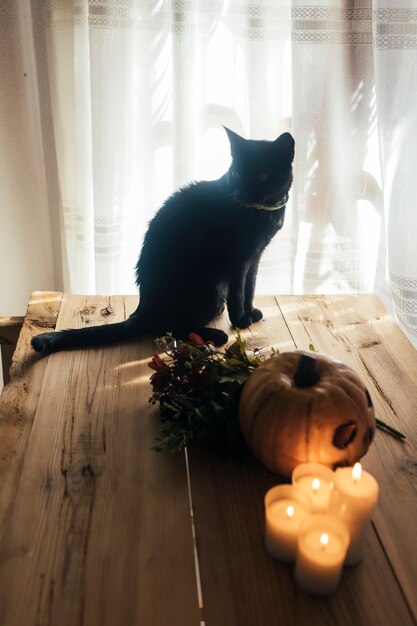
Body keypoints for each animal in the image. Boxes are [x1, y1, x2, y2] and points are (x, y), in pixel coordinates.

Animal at [31, 128, 292, 352]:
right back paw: (215, 335)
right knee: (168, 326)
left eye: (263, 176)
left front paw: (251, 312)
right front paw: (240, 320)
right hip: (213, 281)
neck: (262, 212)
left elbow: (250, 288)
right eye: (236, 173)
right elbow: (239, 292)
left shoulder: (255, 257)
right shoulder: (238, 260)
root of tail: (142, 310)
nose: (242, 194)